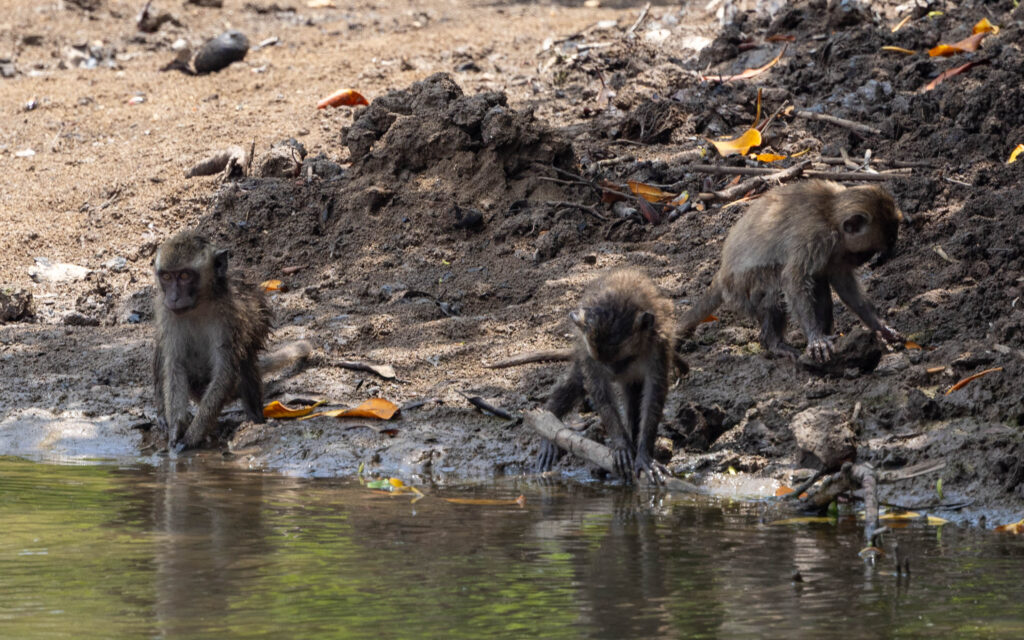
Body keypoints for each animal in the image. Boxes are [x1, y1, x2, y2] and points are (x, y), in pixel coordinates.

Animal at [151, 230, 309, 448]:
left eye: (184, 276)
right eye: (166, 276)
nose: (174, 297)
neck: (200, 303)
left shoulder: (230, 315)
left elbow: (225, 369)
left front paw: (192, 436)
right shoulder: (168, 314)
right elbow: (176, 364)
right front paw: (176, 429)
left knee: (244, 360)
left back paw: (253, 418)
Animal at [532, 266, 675, 481]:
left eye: (622, 360)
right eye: (604, 362)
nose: (614, 372)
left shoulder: (658, 344)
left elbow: (654, 391)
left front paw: (644, 453)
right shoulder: (589, 351)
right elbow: (599, 389)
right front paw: (621, 445)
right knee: (575, 382)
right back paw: (549, 425)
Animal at [679, 178, 905, 360]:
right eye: (867, 253)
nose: (872, 261)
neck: (830, 214)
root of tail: (722, 273)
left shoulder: (836, 249)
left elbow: (843, 284)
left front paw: (880, 327)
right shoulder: (815, 237)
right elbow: (793, 280)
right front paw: (816, 338)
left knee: (818, 284)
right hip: (740, 286)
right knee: (775, 288)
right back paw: (773, 343)